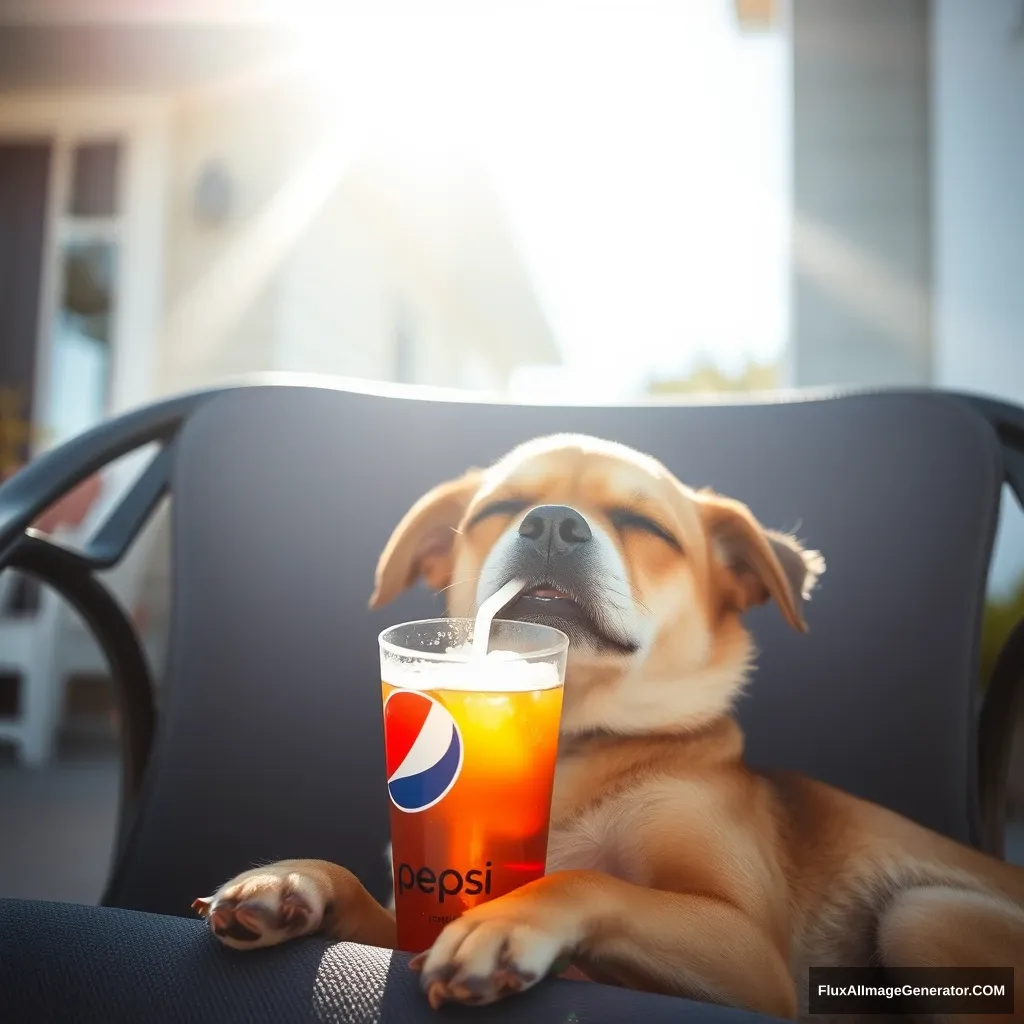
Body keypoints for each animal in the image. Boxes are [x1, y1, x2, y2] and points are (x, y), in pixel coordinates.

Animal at [193, 434, 1024, 1024]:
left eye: (642, 524)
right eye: (497, 511)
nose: (552, 524)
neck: (577, 743)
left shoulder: (754, 957)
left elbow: (585, 879)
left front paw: (509, 919)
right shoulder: (416, 910)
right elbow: (372, 903)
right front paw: (293, 881)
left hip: (923, 914)